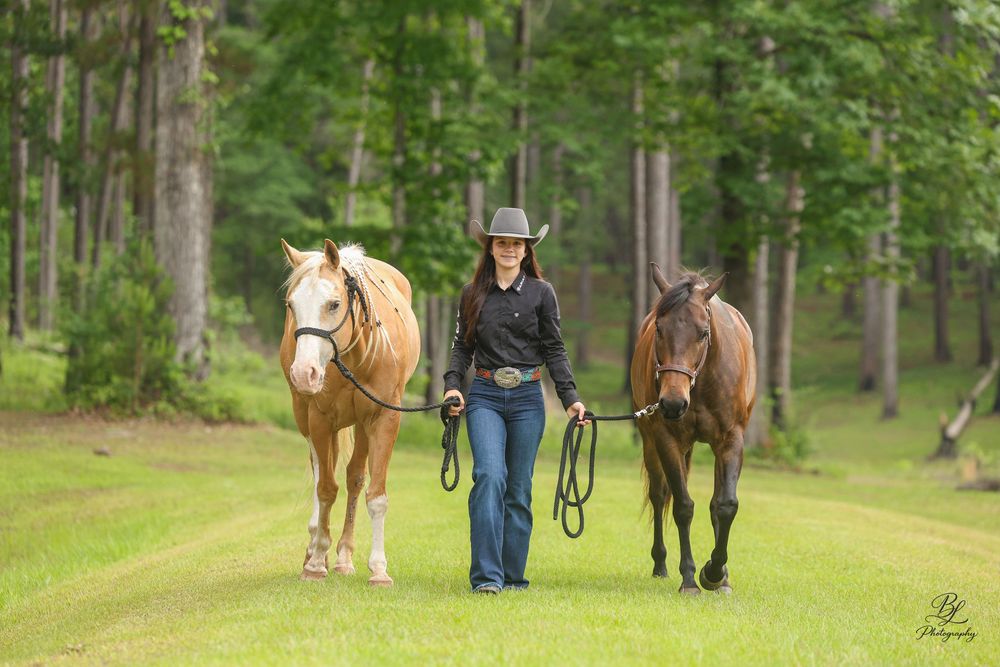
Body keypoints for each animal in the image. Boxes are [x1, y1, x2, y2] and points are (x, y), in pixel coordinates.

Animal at [279, 238, 420, 587]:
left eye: (333, 304)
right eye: (291, 306)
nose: (304, 373)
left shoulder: (384, 418)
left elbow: (376, 494)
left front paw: (379, 569)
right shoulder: (319, 418)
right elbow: (325, 489)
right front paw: (316, 562)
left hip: (361, 426)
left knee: (355, 478)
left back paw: (343, 556)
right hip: (306, 416)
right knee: (321, 472)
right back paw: (316, 548)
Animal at [630, 265, 756, 595]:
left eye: (703, 333)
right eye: (659, 329)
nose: (673, 402)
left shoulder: (731, 440)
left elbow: (725, 505)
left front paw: (715, 573)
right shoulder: (666, 439)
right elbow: (683, 506)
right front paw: (690, 579)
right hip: (650, 442)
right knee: (659, 495)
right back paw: (660, 564)